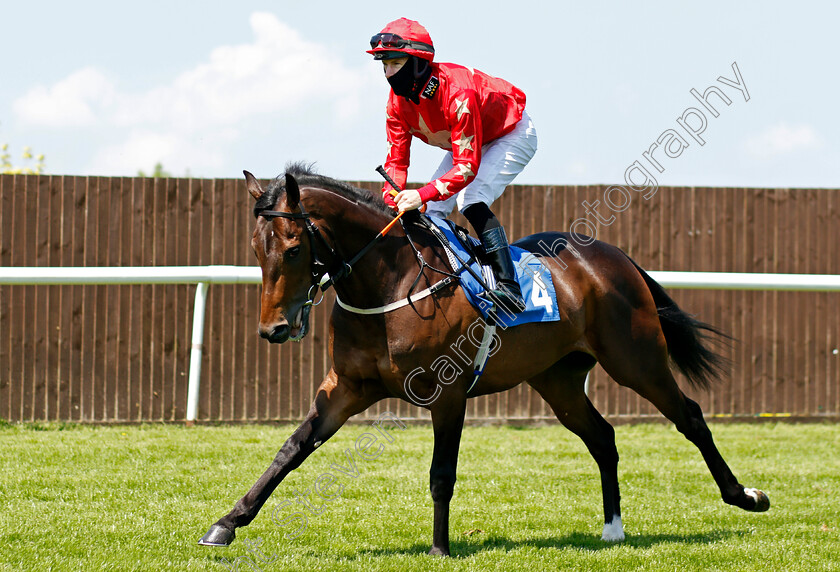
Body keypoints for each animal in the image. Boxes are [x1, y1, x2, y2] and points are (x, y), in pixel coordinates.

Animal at [197, 164, 768, 556]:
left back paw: (745, 495)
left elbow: (441, 473)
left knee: (690, 416)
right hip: (558, 381)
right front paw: (227, 522)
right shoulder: (347, 387)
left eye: (293, 249)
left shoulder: (447, 393)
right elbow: (291, 449)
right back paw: (612, 529)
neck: (391, 284)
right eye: (256, 249)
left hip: (637, 360)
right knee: (603, 437)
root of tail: (613, 256)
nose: (274, 329)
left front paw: (439, 547)